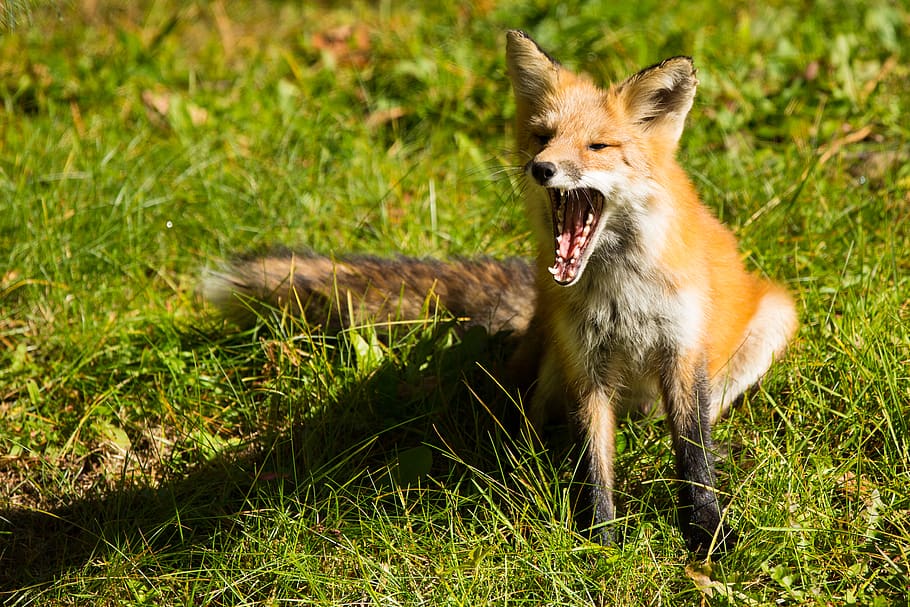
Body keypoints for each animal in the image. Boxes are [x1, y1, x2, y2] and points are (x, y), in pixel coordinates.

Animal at [203, 30, 798, 556]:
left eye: (598, 146)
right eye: (541, 137)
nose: (542, 169)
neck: (621, 292)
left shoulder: (682, 350)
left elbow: (694, 458)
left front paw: (707, 537)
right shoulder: (585, 363)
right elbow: (592, 466)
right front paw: (600, 545)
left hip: (771, 322)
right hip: (551, 367)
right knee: (531, 426)